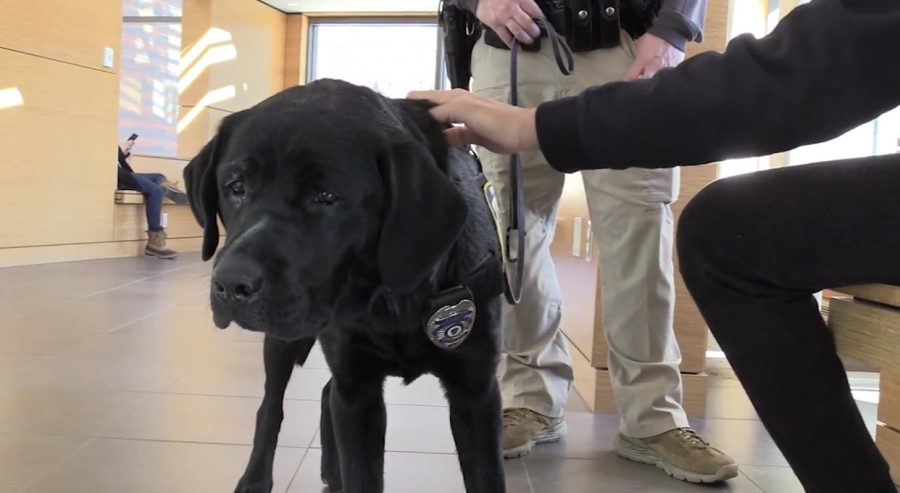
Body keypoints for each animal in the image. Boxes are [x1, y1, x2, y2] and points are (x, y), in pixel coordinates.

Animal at [183, 79, 506, 490]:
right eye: (236, 187)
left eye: (326, 196)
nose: (230, 284)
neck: (390, 298)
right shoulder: (356, 388)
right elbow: (359, 469)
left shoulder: (476, 392)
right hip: (284, 343)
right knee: (271, 406)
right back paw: (257, 478)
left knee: (324, 393)